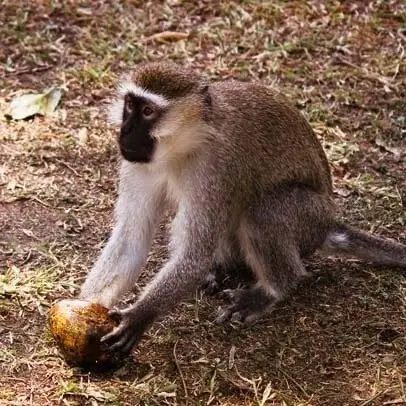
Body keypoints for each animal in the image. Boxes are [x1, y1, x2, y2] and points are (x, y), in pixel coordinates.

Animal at [79, 61, 406, 354]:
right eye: (129, 106)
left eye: (148, 112)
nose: (125, 131)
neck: (183, 148)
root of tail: (328, 224)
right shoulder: (137, 164)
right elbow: (132, 238)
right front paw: (81, 305)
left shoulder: (218, 168)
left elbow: (194, 256)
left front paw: (139, 316)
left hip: (309, 219)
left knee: (263, 212)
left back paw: (272, 290)